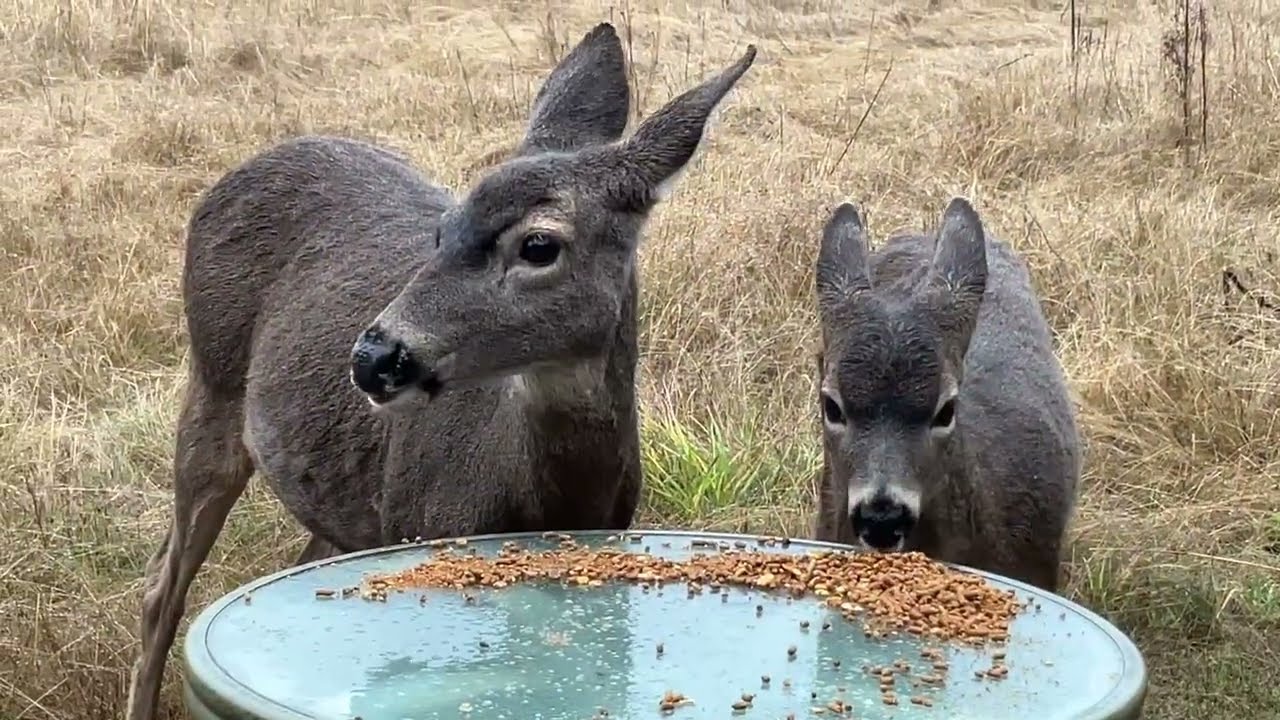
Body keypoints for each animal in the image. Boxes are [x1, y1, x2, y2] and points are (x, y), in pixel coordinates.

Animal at [125, 23, 758, 720]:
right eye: (443, 229)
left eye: (539, 244)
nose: (374, 358)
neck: (548, 498)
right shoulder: (419, 524)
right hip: (212, 381)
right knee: (160, 589)